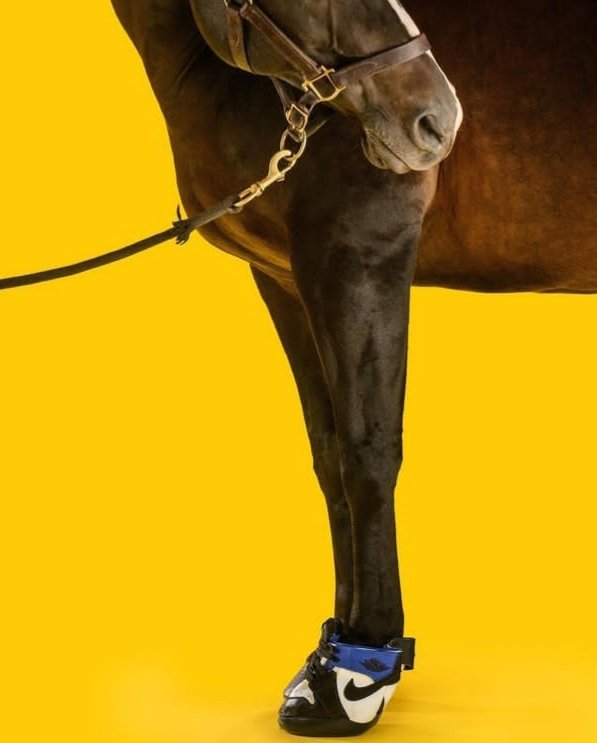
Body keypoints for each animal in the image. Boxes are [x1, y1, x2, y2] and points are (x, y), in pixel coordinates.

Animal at [110, 0, 596, 736]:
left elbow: (368, 458)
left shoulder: (361, 256)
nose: (439, 116)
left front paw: (361, 666)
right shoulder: (284, 278)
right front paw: (332, 645)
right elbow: (330, 457)